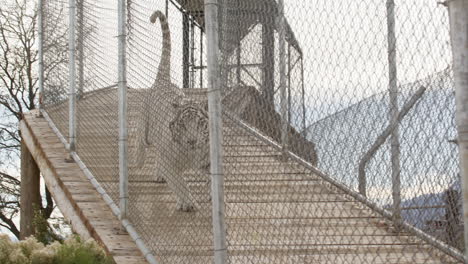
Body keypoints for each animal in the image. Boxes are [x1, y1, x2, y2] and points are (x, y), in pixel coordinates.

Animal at [134, 10, 209, 212]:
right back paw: (139, 161)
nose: (192, 141)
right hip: (145, 129)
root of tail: (163, 81)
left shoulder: (207, 160)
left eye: (200, 123)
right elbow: (179, 183)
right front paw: (188, 203)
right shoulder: (171, 163)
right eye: (183, 124)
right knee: (140, 141)